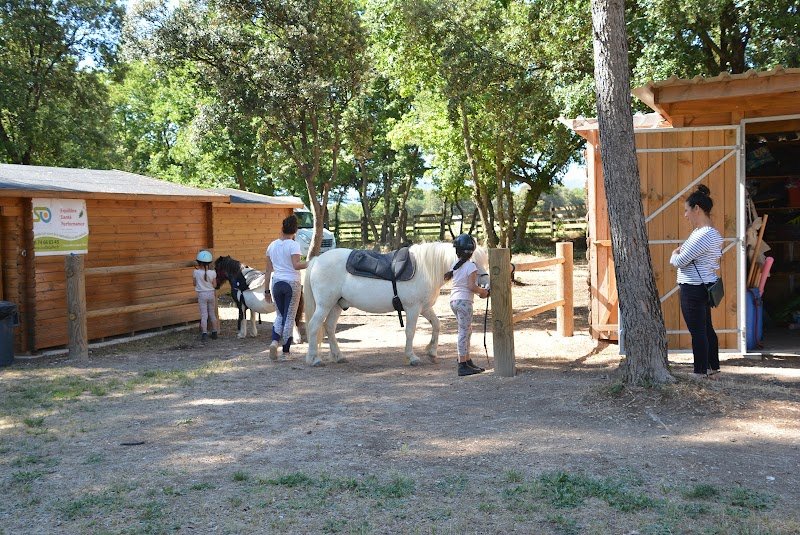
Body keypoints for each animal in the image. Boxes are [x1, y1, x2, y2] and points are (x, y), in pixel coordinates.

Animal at [303, 242, 489, 367]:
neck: (425, 269)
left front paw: (432, 352)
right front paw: (412, 357)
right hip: (325, 305)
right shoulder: (413, 308)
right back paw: (314, 359)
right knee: (314, 326)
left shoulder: (425, 308)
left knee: (329, 327)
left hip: (336, 305)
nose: (486, 286)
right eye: (473, 262)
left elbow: (437, 325)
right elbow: (410, 332)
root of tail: (317, 260)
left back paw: (338, 356)